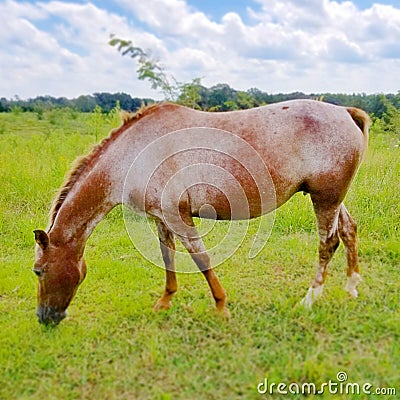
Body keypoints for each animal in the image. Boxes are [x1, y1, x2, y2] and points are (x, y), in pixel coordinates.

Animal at [32, 100, 370, 324]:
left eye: (38, 270)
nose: (44, 318)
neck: (133, 154)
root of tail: (345, 112)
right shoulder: (162, 218)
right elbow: (167, 257)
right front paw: (165, 300)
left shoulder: (179, 217)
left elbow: (202, 260)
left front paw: (221, 306)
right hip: (332, 199)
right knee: (348, 230)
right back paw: (352, 287)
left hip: (325, 199)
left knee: (328, 244)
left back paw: (310, 299)